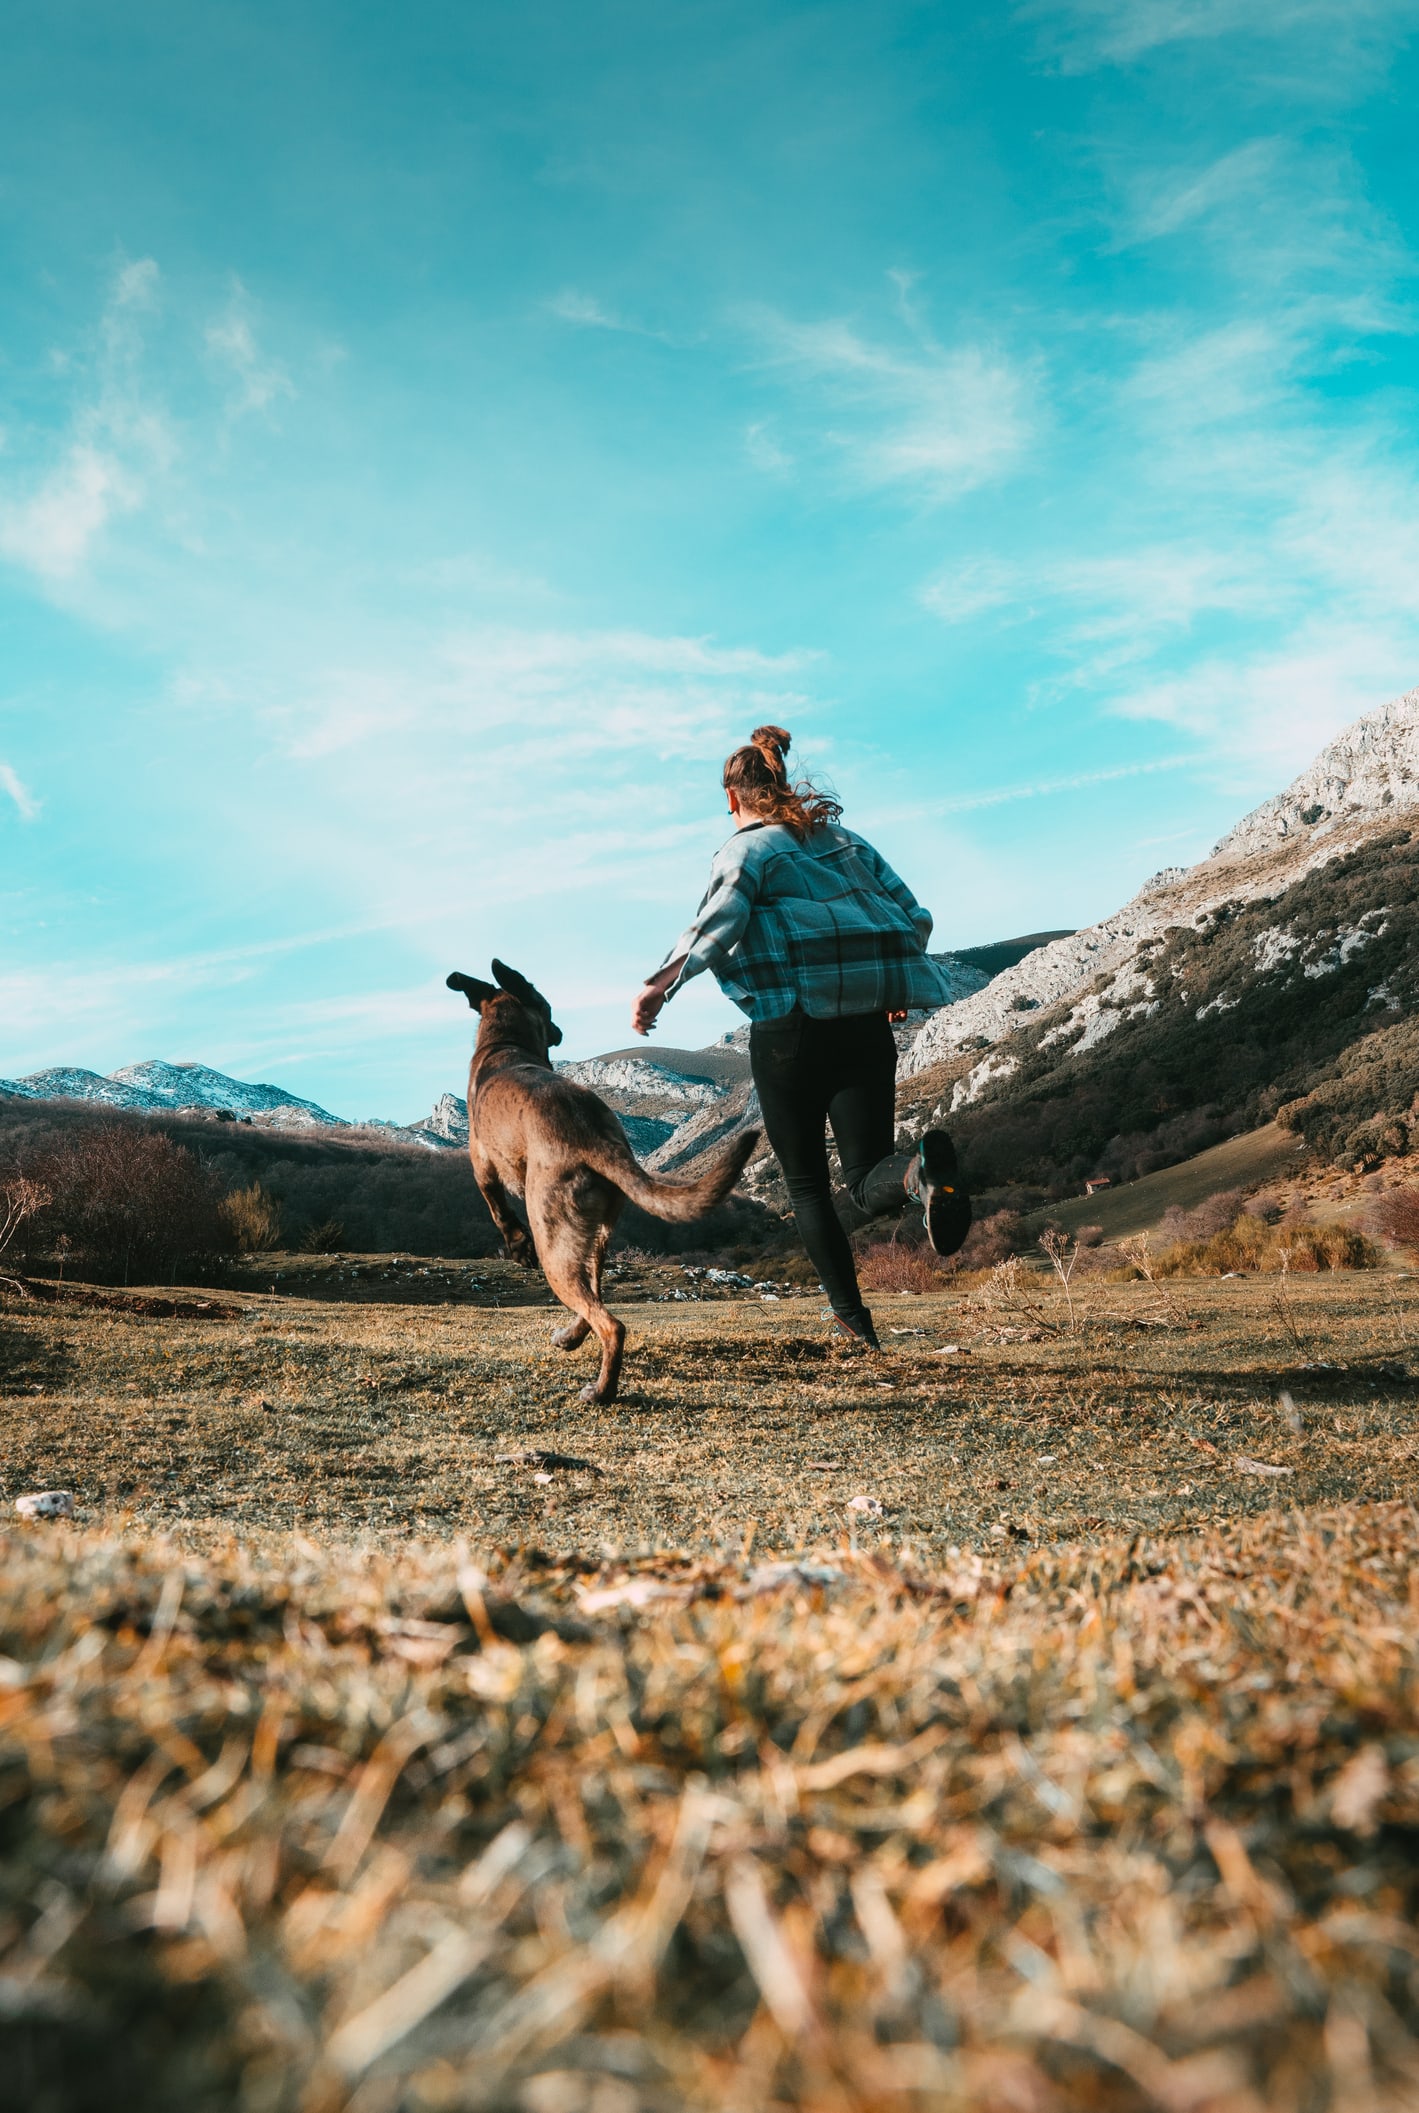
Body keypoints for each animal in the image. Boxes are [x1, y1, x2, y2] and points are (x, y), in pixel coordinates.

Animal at [449, 963, 760, 1403]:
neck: (504, 1043)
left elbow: (499, 1211)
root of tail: (592, 1135)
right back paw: (572, 1337)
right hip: (592, 1233)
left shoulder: (482, 1163)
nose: (559, 1030)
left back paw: (602, 1390)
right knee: (594, 1292)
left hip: (553, 1239)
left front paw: (517, 1247)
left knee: (610, 1322)